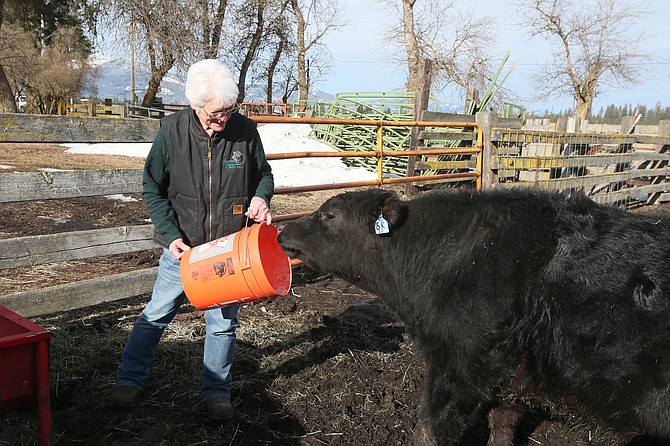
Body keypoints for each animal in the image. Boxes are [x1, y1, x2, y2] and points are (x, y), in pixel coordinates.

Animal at [276, 187, 670, 446]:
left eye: (329, 214)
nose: (282, 232)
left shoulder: (459, 367)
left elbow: (432, 429)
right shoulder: (509, 375)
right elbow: (503, 424)